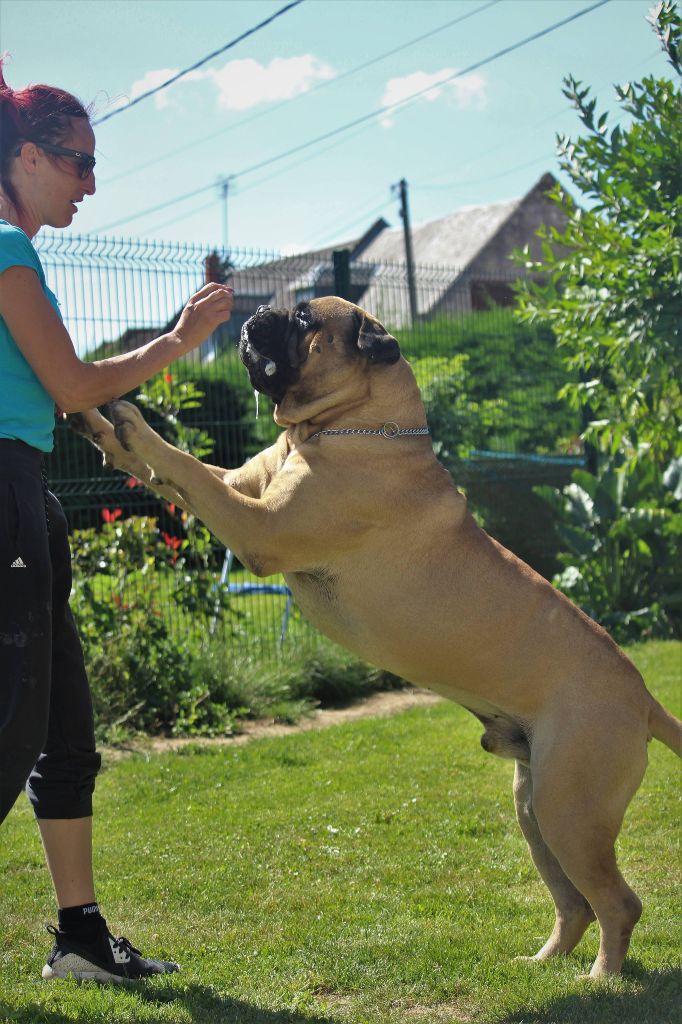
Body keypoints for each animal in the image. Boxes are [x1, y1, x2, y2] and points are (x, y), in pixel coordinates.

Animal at [71, 294, 675, 974]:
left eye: (305, 321)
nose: (257, 311)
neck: (341, 429)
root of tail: (643, 698)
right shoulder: (239, 487)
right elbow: (175, 471)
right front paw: (98, 425)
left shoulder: (256, 525)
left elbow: (179, 465)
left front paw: (131, 419)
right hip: (536, 807)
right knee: (574, 903)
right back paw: (542, 963)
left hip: (570, 808)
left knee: (618, 903)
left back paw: (602, 975)